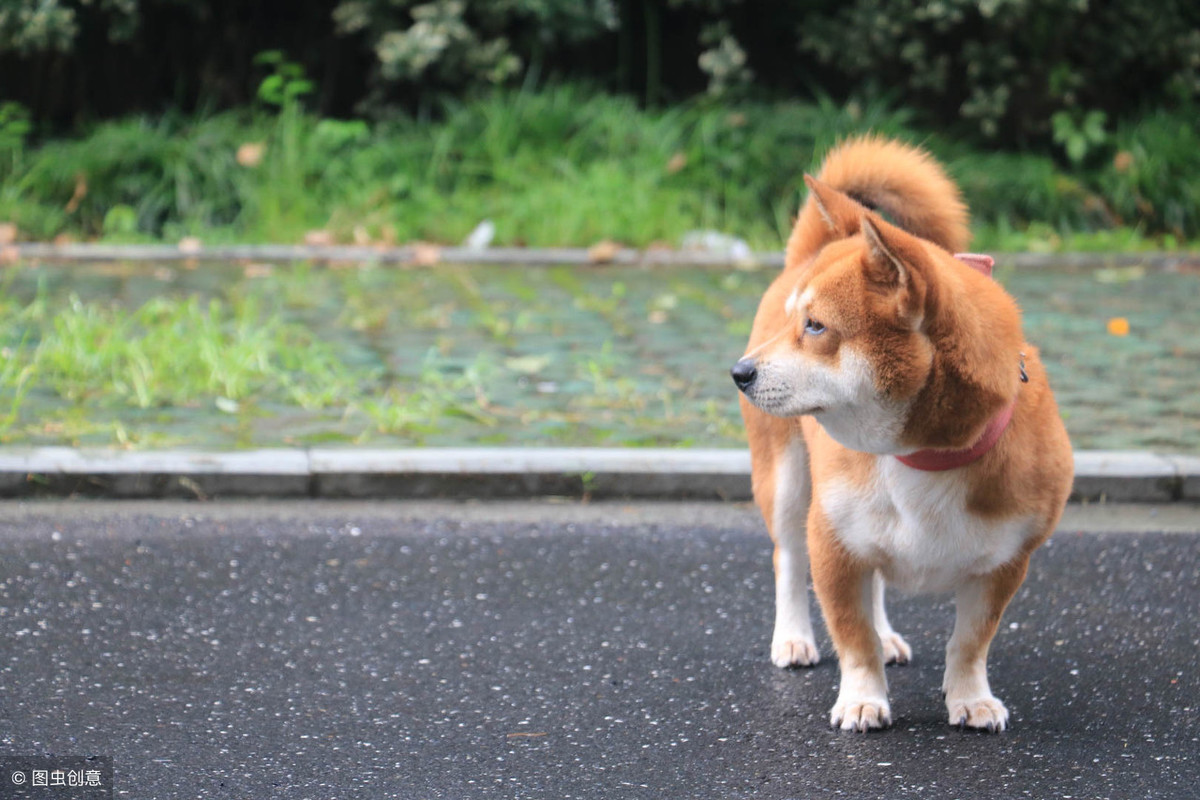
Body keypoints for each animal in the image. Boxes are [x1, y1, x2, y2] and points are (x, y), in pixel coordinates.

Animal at [734, 136, 1075, 734]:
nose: (740, 372)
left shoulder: (1006, 564)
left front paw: (971, 698)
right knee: (788, 560)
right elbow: (852, 637)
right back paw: (794, 637)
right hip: (787, 482)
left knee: (875, 582)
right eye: (795, 323)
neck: (924, 455)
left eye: (815, 326)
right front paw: (863, 698)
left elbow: (970, 641)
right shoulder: (831, 543)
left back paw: (888, 634)